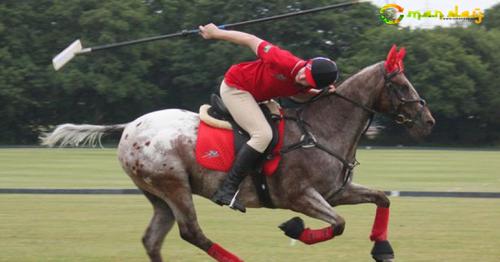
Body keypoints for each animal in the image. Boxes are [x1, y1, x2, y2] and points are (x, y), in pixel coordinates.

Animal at [42, 46, 434, 260]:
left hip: (157, 193)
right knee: (192, 233)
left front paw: (382, 248)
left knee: (154, 239)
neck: (322, 129)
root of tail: (130, 127)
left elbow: (382, 198)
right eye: (402, 86)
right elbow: (337, 225)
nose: (428, 121)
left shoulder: (336, 192)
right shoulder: (299, 195)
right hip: (173, 185)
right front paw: (294, 227)